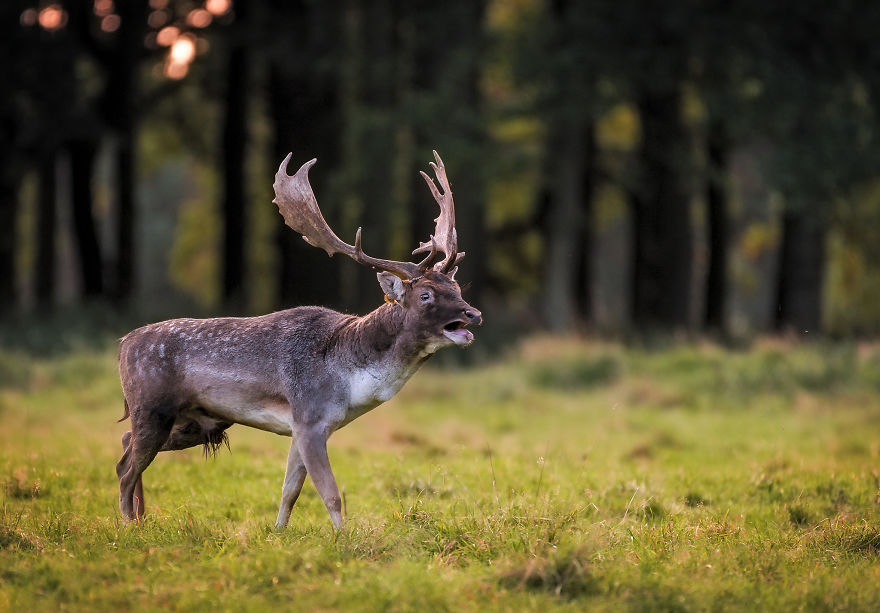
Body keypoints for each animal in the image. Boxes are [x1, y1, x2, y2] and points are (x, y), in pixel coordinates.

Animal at [115, 151, 481, 529]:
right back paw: (128, 526)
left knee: (125, 445)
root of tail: (123, 344)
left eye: (457, 287)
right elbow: (330, 494)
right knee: (126, 468)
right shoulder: (309, 418)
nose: (473, 314)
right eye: (425, 295)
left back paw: (141, 518)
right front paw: (343, 538)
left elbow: (290, 489)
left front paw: (278, 531)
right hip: (152, 406)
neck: (350, 379)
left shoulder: (303, 428)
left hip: (196, 421)